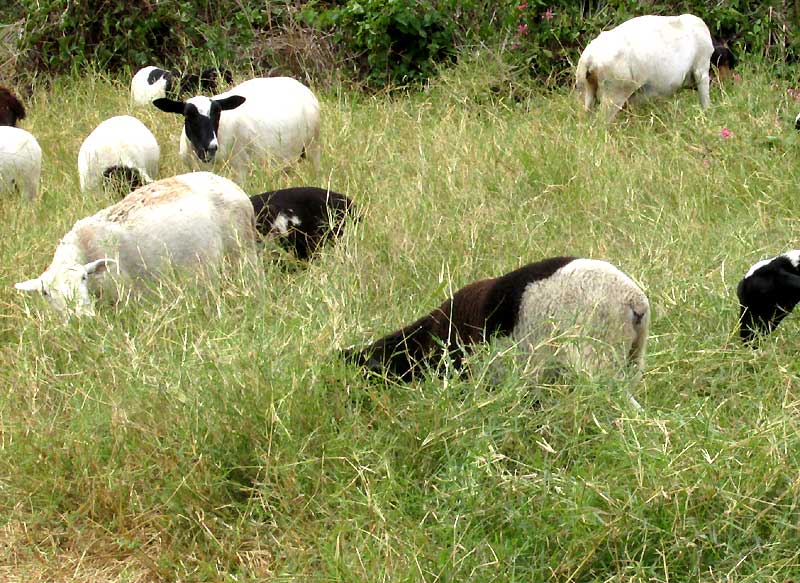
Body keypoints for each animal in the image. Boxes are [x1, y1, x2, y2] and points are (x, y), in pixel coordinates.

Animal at [13, 172, 256, 320]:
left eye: (83, 278)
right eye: (45, 293)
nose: (82, 318)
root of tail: (229, 184)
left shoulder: (125, 297)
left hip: (242, 253)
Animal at [153, 76, 322, 180]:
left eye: (218, 113)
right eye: (188, 115)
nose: (211, 147)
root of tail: (300, 86)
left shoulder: (240, 171)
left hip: (312, 147)